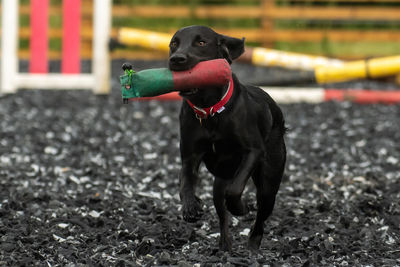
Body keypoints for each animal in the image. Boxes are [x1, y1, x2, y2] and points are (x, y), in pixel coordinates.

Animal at [167, 26, 286, 252]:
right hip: (218, 183)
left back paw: (253, 244)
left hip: (269, 181)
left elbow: (235, 189)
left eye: (201, 42)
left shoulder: (253, 151)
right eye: (173, 44)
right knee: (222, 215)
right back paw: (225, 245)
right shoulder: (189, 156)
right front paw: (191, 206)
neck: (210, 110)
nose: (176, 59)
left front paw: (240, 208)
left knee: (261, 214)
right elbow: (184, 183)